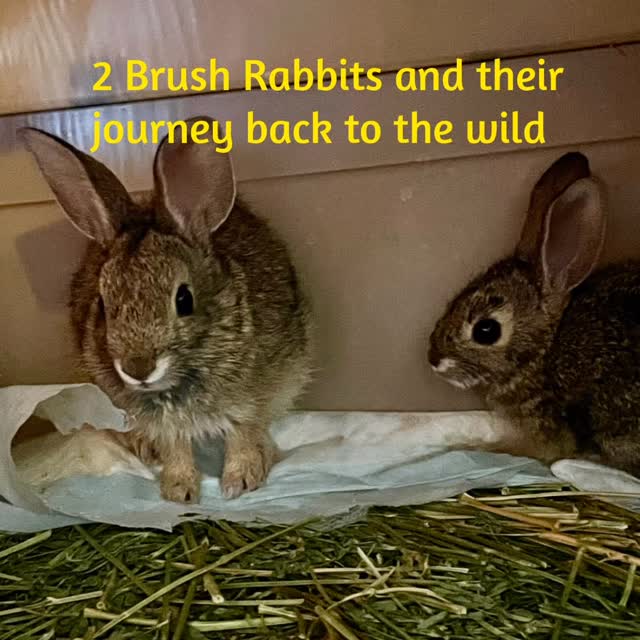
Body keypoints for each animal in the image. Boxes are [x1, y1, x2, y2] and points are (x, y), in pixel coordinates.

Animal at [20, 116, 313, 504]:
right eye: (103, 305)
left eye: (184, 299)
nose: (137, 368)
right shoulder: (160, 423)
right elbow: (176, 449)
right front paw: (180, 492)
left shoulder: (251, 400)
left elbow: (243, 436)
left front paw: (239, 483)